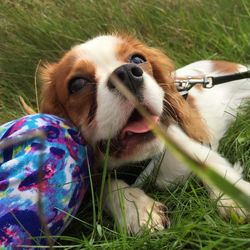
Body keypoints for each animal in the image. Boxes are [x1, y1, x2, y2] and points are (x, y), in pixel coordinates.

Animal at [39, 34, 250, 233]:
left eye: (137, 59)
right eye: (77, 84)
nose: (127, 73)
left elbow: (213, 167)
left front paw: (235, 197)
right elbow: (107, 185)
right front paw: (138, 209)